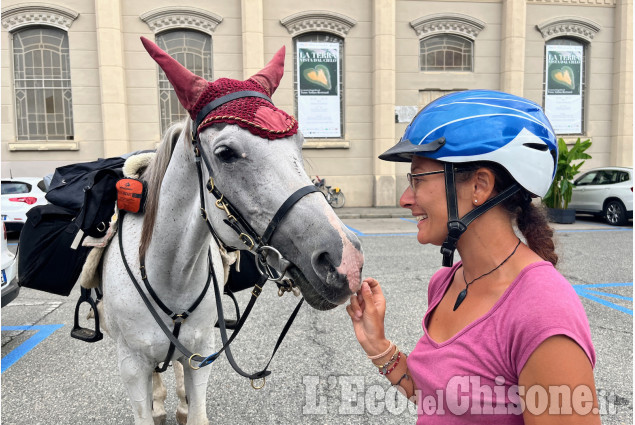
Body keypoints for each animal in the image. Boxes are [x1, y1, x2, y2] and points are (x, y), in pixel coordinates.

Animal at [100, 39, 366, 424]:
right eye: (225, 153)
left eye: (300, 143)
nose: (345, 260)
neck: (169, 275)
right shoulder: (131, 367)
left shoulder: (201, 356)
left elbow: (196, 408)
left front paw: (185, 407)